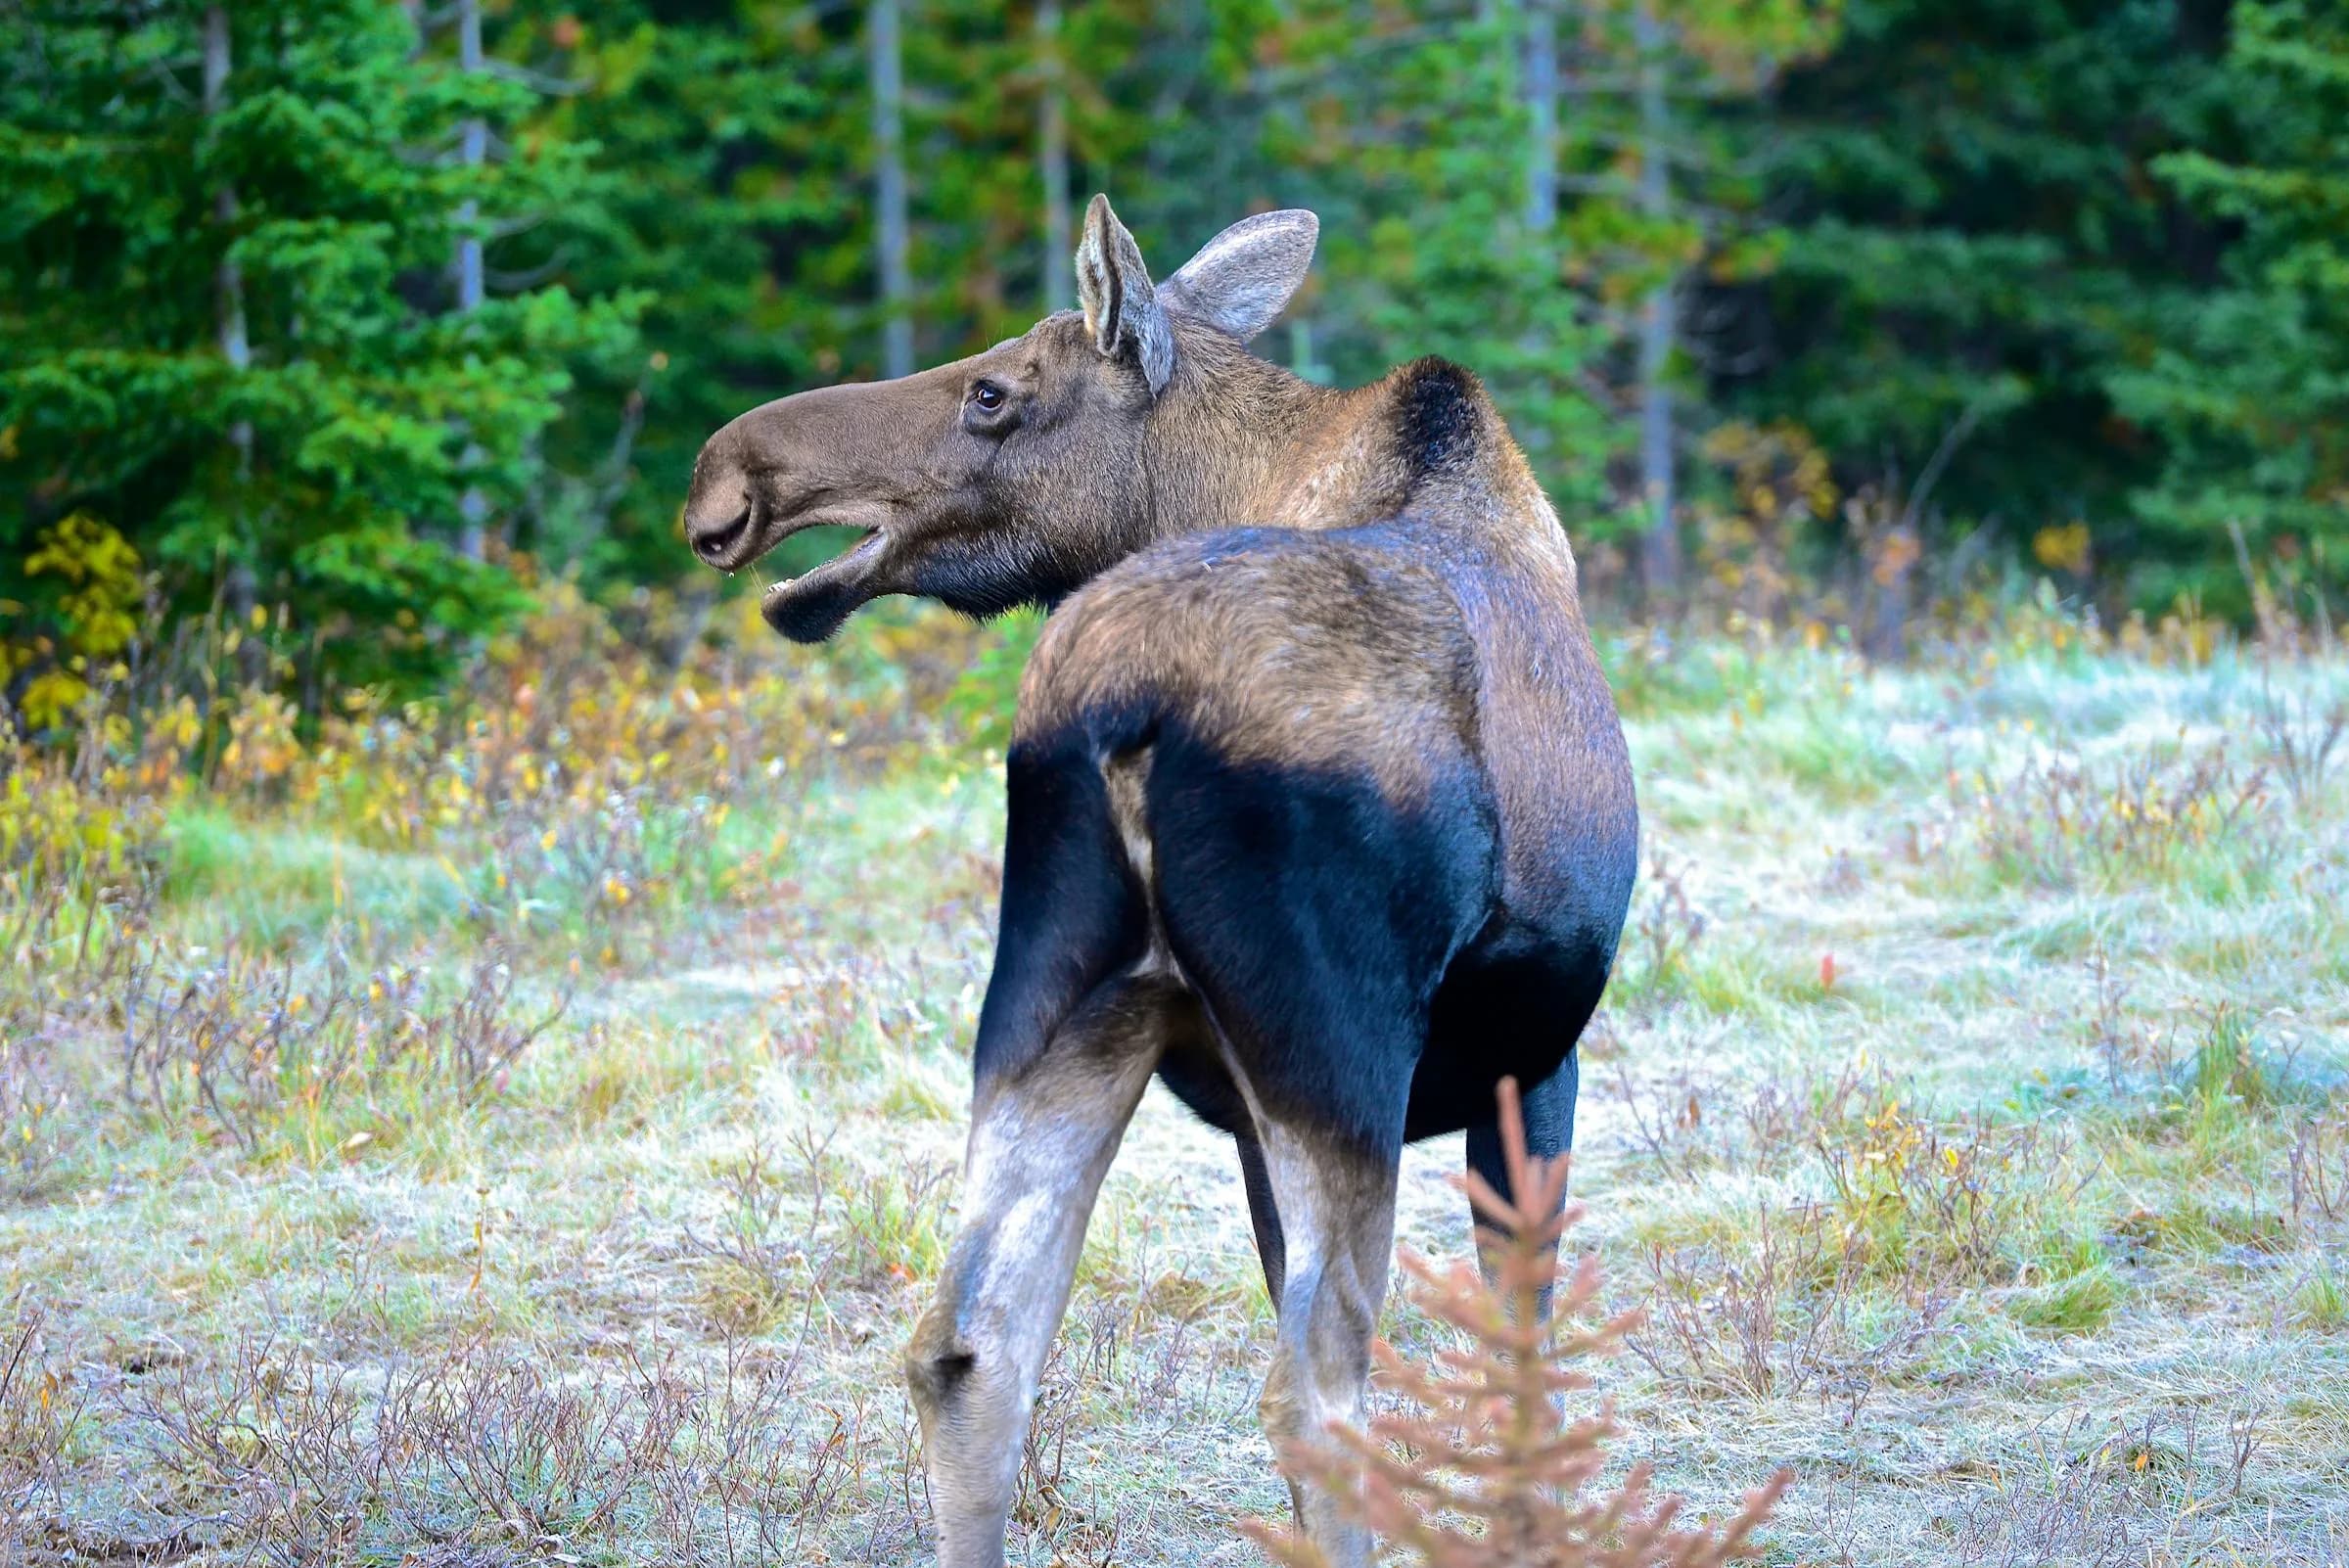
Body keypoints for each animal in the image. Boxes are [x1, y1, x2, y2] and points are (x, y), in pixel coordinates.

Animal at [683, 195, 1638, 1568]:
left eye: (991, 392)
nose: (728, 479)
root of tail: (1133, 704)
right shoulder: (1536, 1054)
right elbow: (1521, 1354)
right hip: (1337, 1050)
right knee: (1317, 1384)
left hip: (1058, 997)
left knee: (968, 1347)